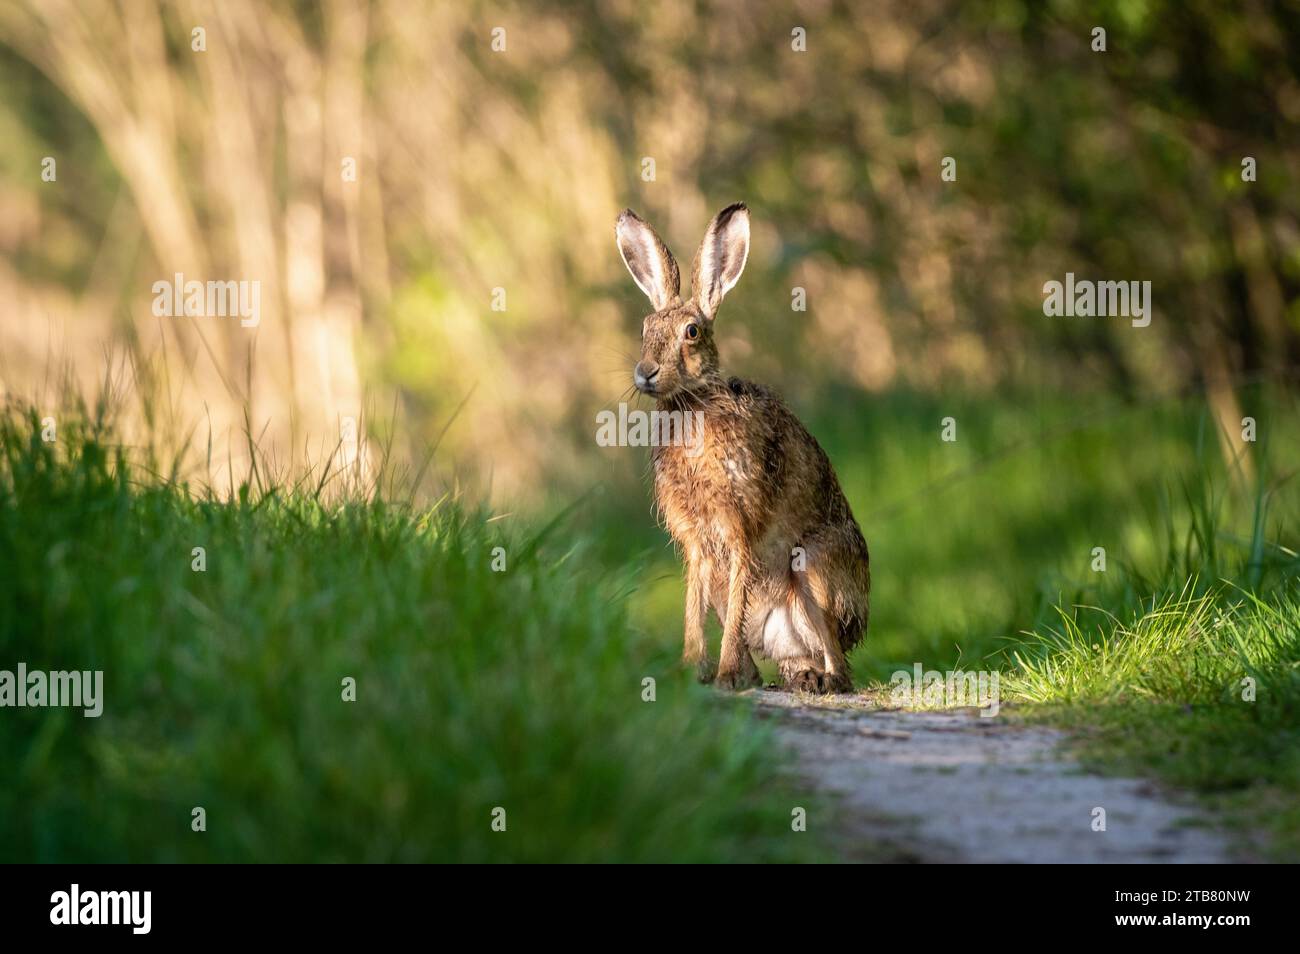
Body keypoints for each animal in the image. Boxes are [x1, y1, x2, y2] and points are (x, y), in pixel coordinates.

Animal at [615, 202, 870, 693]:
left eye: (692, 332)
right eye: (645, 328)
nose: (646, 372)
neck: (693, 403)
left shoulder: (740, 529)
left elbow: (737, 600)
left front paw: (724, 675)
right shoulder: (696, 543)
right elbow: (693, 605)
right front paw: (691, 671)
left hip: (814, 569)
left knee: (838, 659)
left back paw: (819, 680)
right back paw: (779, 677)